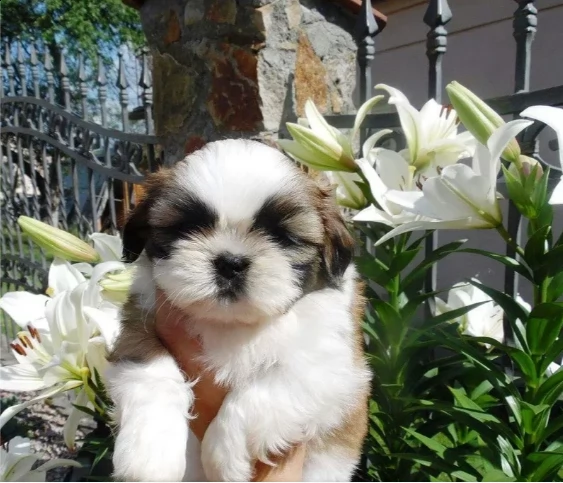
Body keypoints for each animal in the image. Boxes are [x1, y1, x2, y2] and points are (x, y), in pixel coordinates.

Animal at [107, 138, 372, 482]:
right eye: (187, 227)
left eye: (282, 237)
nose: (230, 262)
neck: (230, 324)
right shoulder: (140, 317)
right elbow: (151, 370)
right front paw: (151, 454)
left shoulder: (335, 366)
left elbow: (268, 385)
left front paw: (222, 455)